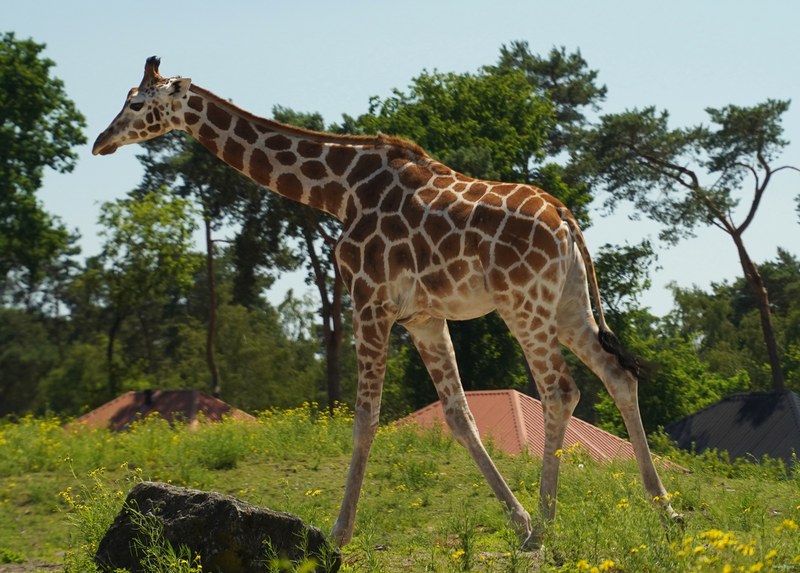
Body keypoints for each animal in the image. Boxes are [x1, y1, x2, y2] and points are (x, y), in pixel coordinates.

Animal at [93, 57, 680, 548]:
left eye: (138, 103)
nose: (101, 141)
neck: (339, 191)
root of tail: (565, 217)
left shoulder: (368, 300)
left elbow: (365, 417)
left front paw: (338, 532)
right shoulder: (423, 318)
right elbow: (459, 415)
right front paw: (517, 518)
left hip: (524, 305)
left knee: (560, 390)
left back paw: (550, 526)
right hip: (568, 305)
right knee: (616, 375)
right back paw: (662, 511)